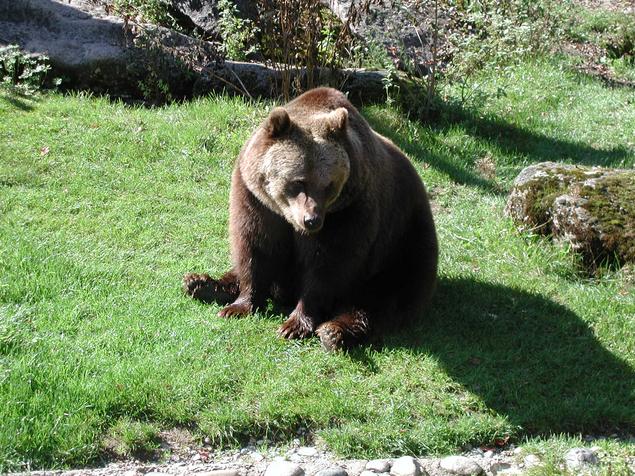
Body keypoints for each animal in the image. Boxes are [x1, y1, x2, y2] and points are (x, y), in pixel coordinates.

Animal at [183, 87, 438, 351]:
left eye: (329, 185)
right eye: (299, 182)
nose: (312, 220)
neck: (287, 218)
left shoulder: (348, 212)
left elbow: (328, 268)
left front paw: (294, 325)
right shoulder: (255, 200)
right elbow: (254, 247)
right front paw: (238, 305)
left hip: (403, 243)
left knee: (384, 298)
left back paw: (334, 331)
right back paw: (200, 283)